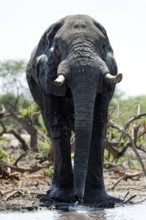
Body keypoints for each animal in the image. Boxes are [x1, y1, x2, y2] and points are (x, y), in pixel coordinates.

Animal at [26, 14, 122, 205]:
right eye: (57, 48)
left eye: (102, 46)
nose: (79, 199)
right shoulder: (46, 75)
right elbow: (59, 126)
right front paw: (62, 198)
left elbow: (98, 126)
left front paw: (97, 200)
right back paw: (52, 193)